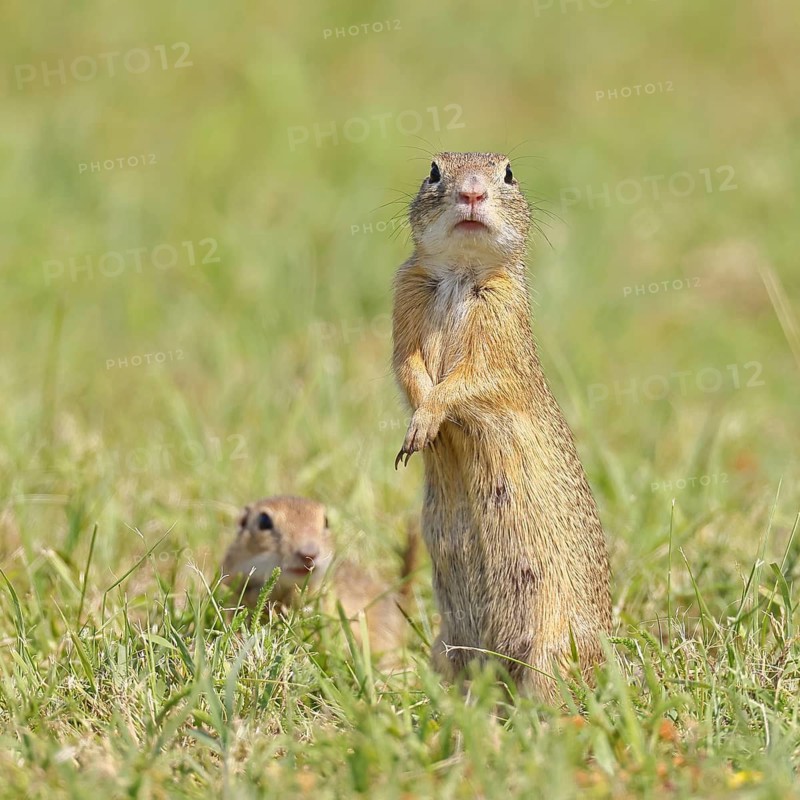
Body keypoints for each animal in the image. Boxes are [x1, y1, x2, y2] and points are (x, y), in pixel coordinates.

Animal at [391, 152, 611, 700]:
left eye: (508, 173)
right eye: (434, 170)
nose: (472, 192)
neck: (460, 275)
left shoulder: (502, 325)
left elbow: (470, 381)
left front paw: (426, 421)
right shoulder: (404, 295)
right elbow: (407, 366)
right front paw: (416, 428)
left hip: (551, 654)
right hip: (446, 647)